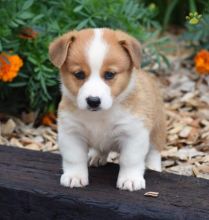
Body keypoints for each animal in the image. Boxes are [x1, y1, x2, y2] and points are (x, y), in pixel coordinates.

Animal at [48, 28, 165, 192]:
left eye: (109, 74)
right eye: (79, 74)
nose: (93, 101)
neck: (100, 116)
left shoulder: (133, 133)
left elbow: (130, 159)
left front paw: (130, 180)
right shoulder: (71, 132)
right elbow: (74, 158)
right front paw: (75, 177)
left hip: (157, 129)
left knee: (154, 150)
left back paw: (153, 166)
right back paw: (96, 156)